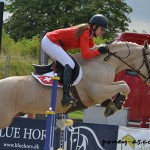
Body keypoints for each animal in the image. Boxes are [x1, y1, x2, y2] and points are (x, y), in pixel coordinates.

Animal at [0, 40, 150, 128]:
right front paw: (116, 104)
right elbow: (125, 86)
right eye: (149, 59)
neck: (104, 63)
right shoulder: (98, 92)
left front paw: (113, 105)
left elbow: (123, 84)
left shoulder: (105, 88)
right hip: (4, 118)